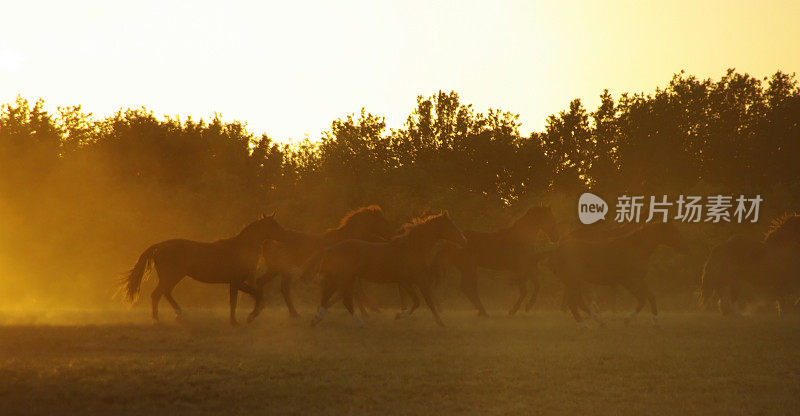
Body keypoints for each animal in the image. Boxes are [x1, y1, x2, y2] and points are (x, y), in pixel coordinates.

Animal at [120, 214, 290, 324]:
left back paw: (178, 314)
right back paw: (158, 319)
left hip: (171, 277)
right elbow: (249, 297)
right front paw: (246, 317)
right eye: (274, 225)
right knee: (157, 294)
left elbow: (243, 298)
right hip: (172, 276)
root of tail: (159, 246)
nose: (287, 236)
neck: (241, 248)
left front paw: (242, 318)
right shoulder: (236, 281)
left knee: (165, 293)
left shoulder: (236, 283)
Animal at [252, 204, 396, 318]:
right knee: (282, 288)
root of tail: (269, 241)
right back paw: (292, 313)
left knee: (271, 285)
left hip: (278, 270)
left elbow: (352, 291)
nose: (392, 235)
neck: (346, 239)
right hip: (280, 269)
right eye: (382, 220)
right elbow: (355, 291)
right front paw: (367, 312)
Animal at [306, 211, 468, 328]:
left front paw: (441, 322)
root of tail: (332, 248)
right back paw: (321, 319)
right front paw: (399, 316)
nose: (464, 240)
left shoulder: (419, 280)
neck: (412, 248)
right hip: (342, 277)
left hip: (348, 279)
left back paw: (357, 323)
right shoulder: (405, 281)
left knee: (342, 299)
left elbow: (428, 300)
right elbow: (417, 301)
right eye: (451, 226)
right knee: (331, 296)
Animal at [552, 223, 688, 326]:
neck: (635, 247)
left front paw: (639, 320)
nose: (684, 246)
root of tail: (558, 249)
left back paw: (600, 322)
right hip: (572, 281)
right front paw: (644, 320)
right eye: (673, 231)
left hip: (574, 282)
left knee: (578, 302)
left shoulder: (635, 280)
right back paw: (584, 325)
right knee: (573, 302)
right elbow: (645, 298)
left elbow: (647, 297)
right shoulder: (631, 281)